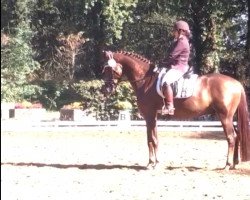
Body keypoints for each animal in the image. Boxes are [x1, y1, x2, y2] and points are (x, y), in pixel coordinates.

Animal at [100, 49, 250, 169]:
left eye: (109, 69)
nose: (105, 90)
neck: (146, 80)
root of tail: (236, 83)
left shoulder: (149, 116)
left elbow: (151, 139)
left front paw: (152, 164)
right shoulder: (153, 117)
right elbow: (154, 139)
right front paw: (155, 162)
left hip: (224, 117)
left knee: (231, 137)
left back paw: (227, 165)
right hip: (229, 117)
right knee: (237, 135)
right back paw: (234, 163)